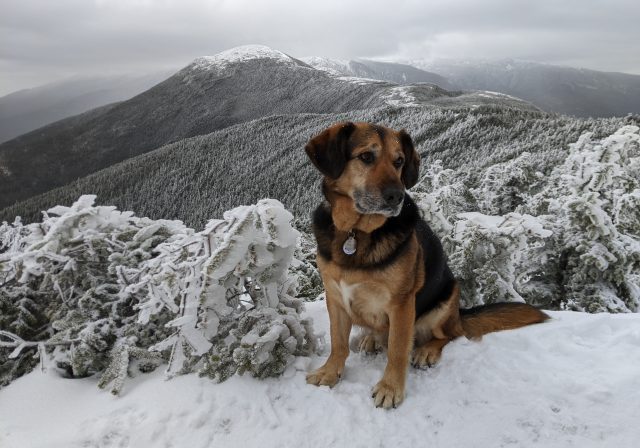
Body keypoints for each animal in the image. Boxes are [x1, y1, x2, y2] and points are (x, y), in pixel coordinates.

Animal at [304, 122, 552, 410]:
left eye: (399, 161)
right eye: (366, 156)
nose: (396, 196)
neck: (356, 232)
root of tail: (459, 314)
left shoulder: (401, 303)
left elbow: (398, 349)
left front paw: (391, 388)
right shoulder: (335, 296)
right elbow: (338, 342)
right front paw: (330, 372)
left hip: (445, 300)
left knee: (450, 335)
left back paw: (426, 350)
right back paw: (372, 338)